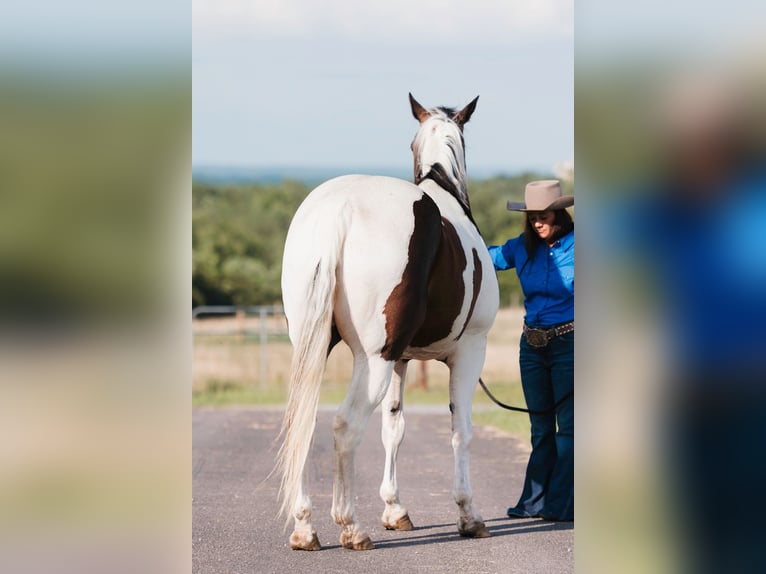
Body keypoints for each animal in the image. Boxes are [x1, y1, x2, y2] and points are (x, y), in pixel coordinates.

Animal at [280, 94, 500, 552]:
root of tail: (338, 212)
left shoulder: (401, 358)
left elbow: (393, 428)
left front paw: (395, 510)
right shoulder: (470, 351)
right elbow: (461, 430)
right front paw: (468, 515)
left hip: (317, 351)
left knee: (302, 423)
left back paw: (305, 528)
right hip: (374, 361)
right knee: (345, 426)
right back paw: (350, 526)